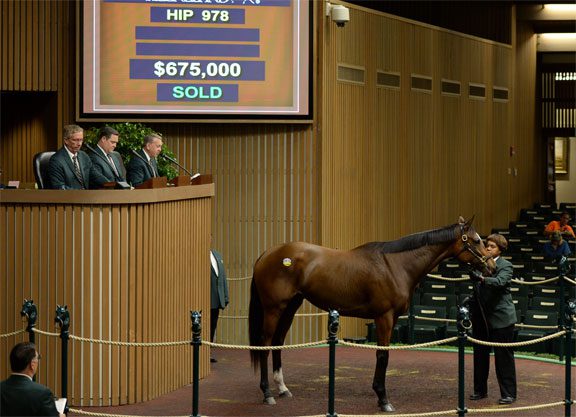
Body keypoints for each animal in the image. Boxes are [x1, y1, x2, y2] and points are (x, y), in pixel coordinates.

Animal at [248, 216, 495, 412]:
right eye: (476, 240)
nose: (491, 266)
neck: (395, 264)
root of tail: (267, 254)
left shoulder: (391, 319)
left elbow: (383, 355)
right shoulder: (384, 317)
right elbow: (382, 355)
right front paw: (383, 399)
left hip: (290, 307)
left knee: (278, 343)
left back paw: (282, 389)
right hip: (274, 309)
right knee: (265, 344)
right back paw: (267, 394)